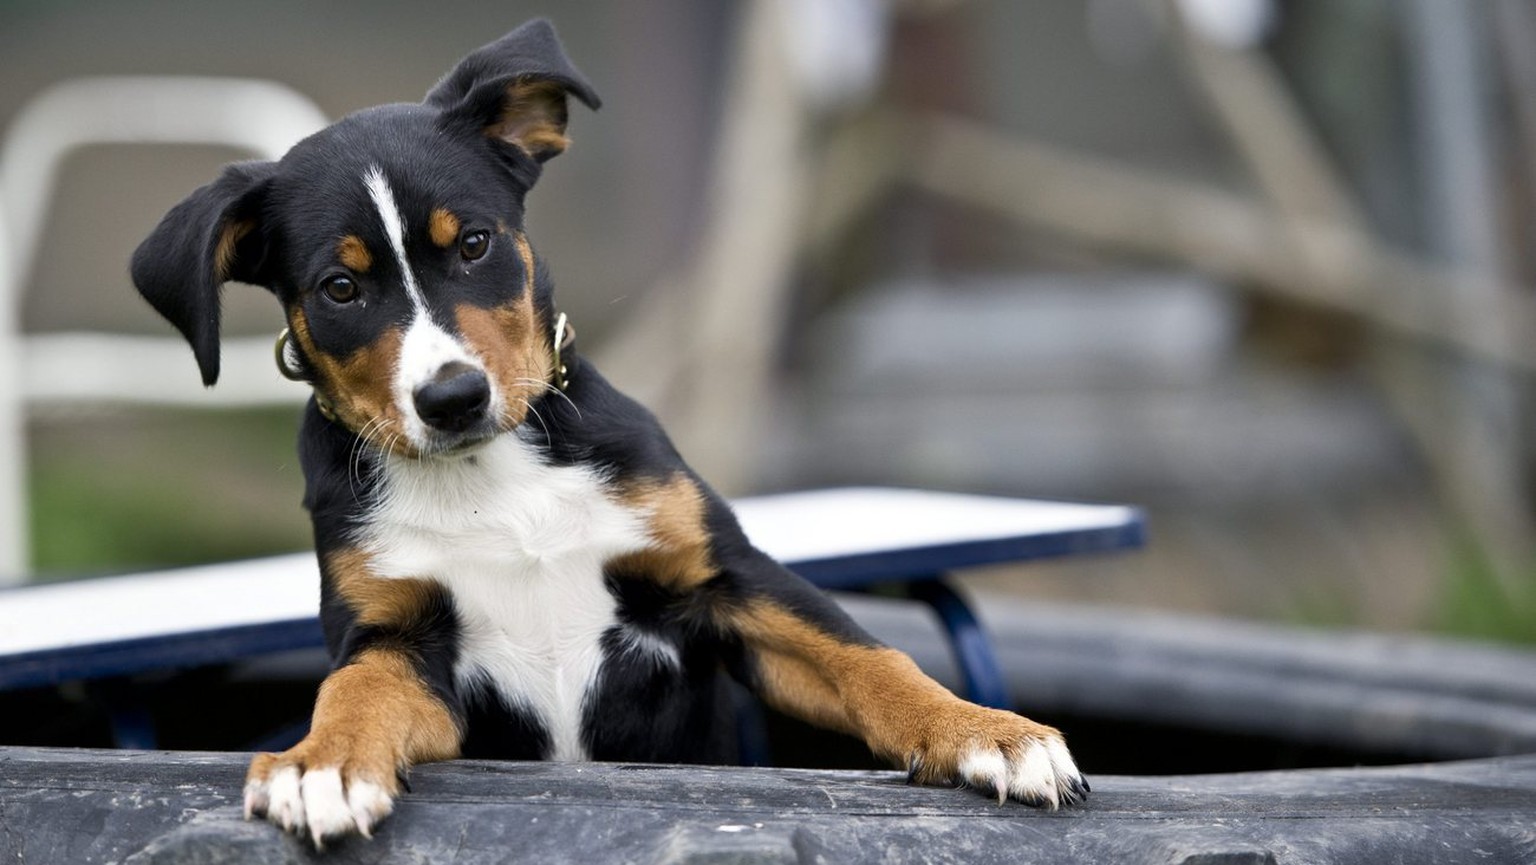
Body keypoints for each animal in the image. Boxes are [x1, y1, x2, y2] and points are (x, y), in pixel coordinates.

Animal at [132, 18, 1093, 848]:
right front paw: (319, 766)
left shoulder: (727, 580)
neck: (489, 476)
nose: (452, 398)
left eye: (475, 243)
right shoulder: (399, 638)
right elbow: (352, 691)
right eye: (340, 288)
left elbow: (871, 659)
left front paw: (988, 733)